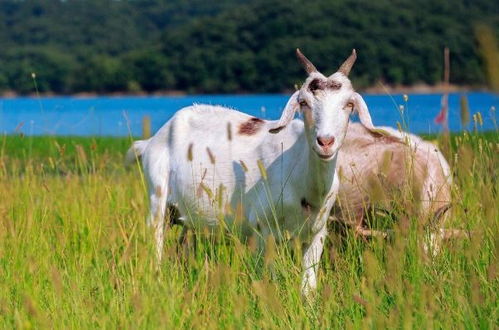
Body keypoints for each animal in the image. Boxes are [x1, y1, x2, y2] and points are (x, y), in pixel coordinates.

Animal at [128, 49, 378, 294]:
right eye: (304, 102)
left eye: (349, 104)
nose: (325, 142)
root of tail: (153, 140)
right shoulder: (262, 229)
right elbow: (268, 279)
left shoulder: (316, 233)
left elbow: (308, 287)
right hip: (157, 197)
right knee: (156, 242)